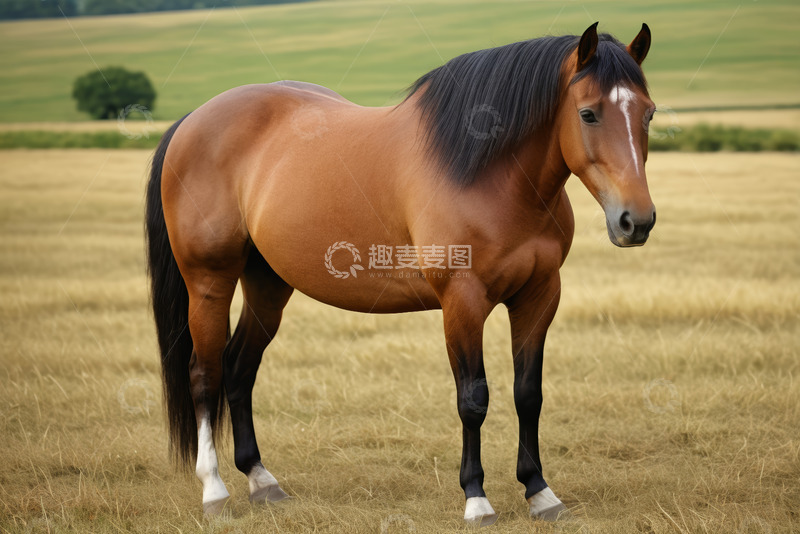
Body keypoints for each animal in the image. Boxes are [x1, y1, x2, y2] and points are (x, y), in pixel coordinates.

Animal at [145, 22, 656, 525]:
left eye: (648, 114)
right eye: (588, 114)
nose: (636, 221)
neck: (487, 173)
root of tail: (192, 121)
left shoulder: (539, 295)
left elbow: (528, 394)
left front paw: (540, 492)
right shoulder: (462, 302)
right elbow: (473, 398)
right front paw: (476, 499)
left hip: (268, 284)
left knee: (239, 368)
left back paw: (262, 480)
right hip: (208, 281)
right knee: (205, 373)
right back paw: (214, 491)